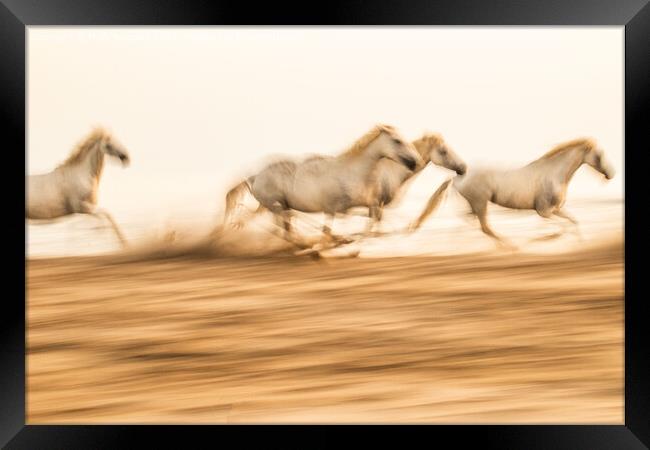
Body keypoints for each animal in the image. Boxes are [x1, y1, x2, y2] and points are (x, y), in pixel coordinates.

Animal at [225, 123, 422, 243]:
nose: (415, 162)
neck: (354, 172)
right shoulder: (333, 208)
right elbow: (329, 230)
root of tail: (255, 176)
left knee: (278, 226)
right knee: (282, 229)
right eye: (397, 141)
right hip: (276, 205)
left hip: (278, 206)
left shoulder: (363, 203)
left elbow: (373, 218)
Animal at [410, 137, 612, 248]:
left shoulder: (556, 209)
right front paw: (543, 240)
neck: (554, 174)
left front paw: (581, 244)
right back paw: (511, 247)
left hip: (473, 205)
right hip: (480, 203)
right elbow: (563, 227)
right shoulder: (544, 211)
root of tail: (458, 175)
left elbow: (573, 222)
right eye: (599, 155)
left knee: (468, 224)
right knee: (484, 227)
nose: (611, 174)